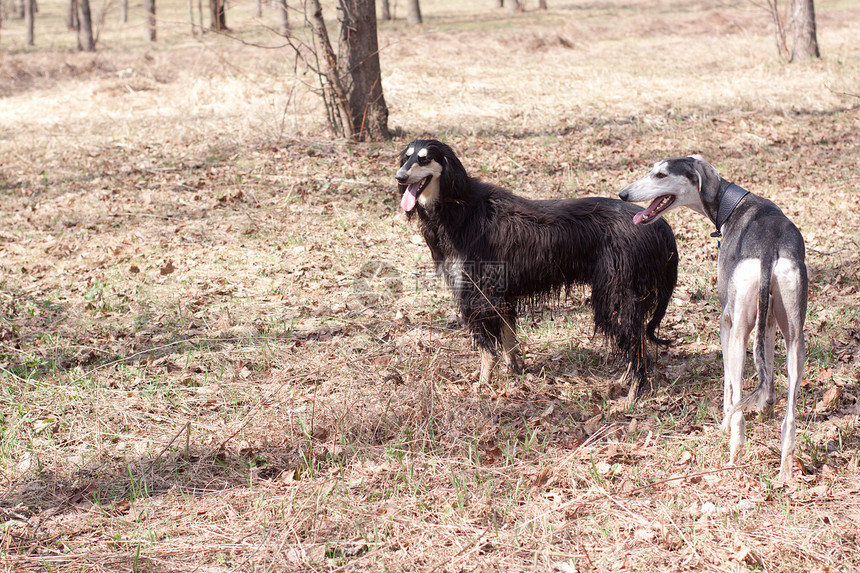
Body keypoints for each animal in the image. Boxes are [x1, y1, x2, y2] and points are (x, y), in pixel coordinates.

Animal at [396, 139, 680, 402]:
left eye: (424, 159)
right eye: (407, 157)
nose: (399, 177)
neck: (459, 205)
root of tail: (661, 226)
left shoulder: (479, 294)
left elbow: (487, 349)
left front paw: (482, 384)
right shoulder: (501, 294)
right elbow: (509, 340)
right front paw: (514, 370)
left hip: (616, 295)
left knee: (637, 349)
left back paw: (631, 395)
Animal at [620, 155, 808, 478]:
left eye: (661, 174)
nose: (623, 194)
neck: (732, 204)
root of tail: (769, 248)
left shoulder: (726, 323)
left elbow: (729, 386)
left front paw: (724, 418)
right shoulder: (769, 321)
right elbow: (767, 371)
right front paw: (766, 405)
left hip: (738, 334)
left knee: (737, 404)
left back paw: (733, 447)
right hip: (796, 340)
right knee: (790, 418)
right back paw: (784, 471)